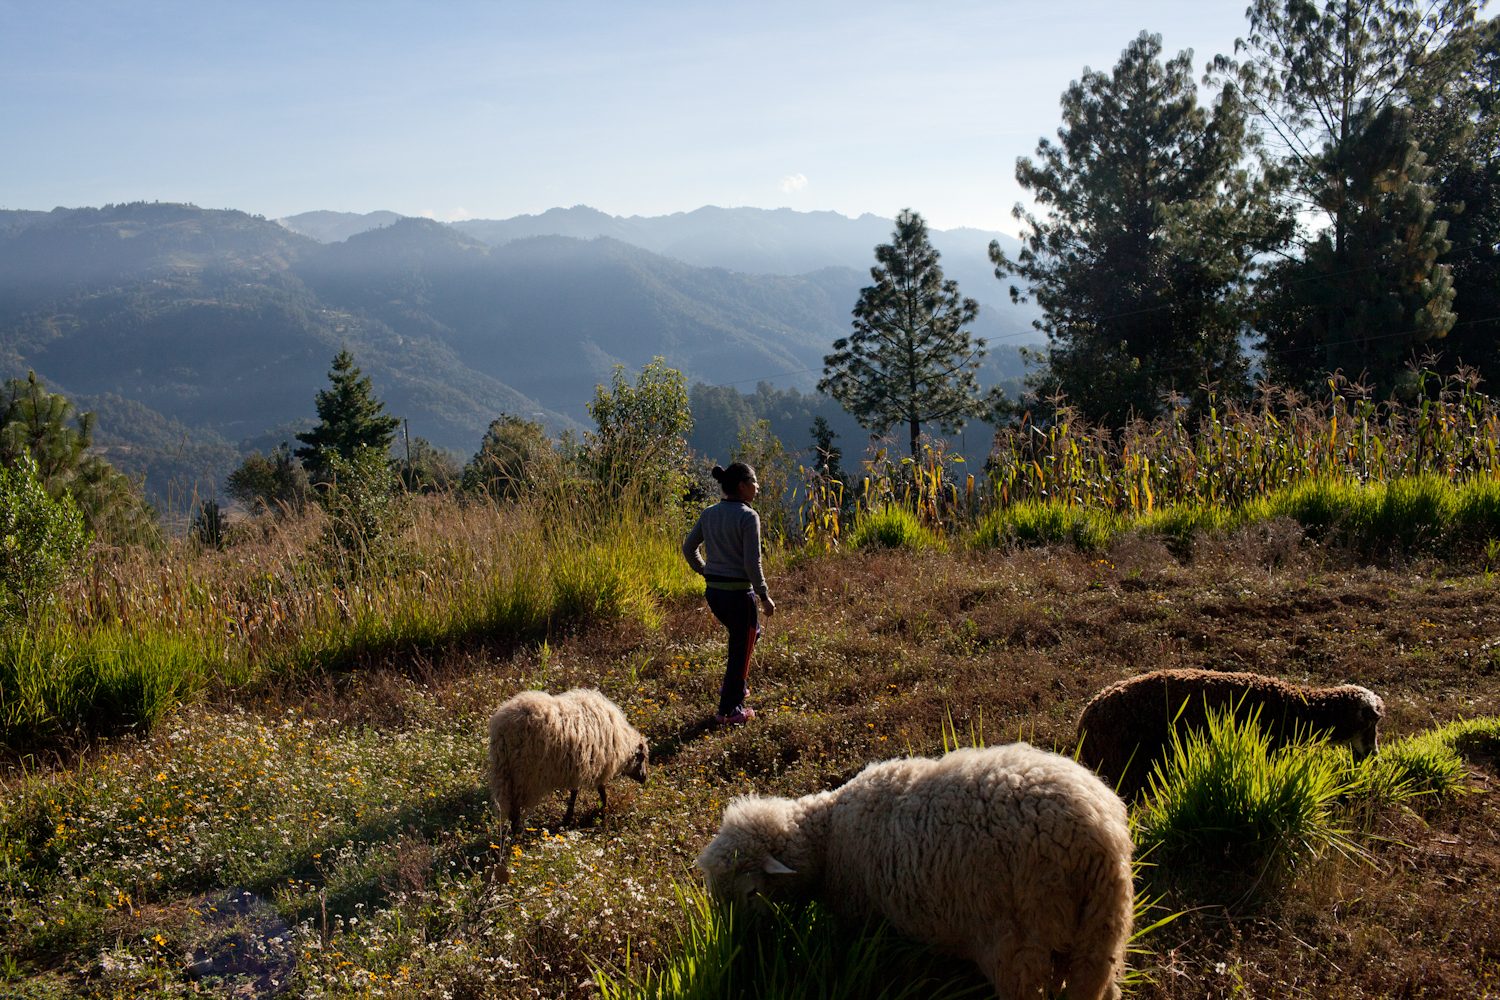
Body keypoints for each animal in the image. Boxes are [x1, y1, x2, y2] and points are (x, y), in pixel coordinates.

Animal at [489, 689, 648, 839]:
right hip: (524, 773)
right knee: (516, 806)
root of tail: (503, 728)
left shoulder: (579, 766)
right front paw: (603, 811)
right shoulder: (595, 764)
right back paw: (517, 833)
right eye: (642, 757)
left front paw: (569, 818)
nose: (645, 778)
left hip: (504, 771)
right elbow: (596, 790)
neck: (623, 742)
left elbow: (576, 792)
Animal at [696, 743, 1128, 1000]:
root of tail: (1096, 835)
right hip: (1101, 927)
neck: (829, 834)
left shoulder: (861, 918)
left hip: (1018, 939)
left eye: (751, 892)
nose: (738, 944)